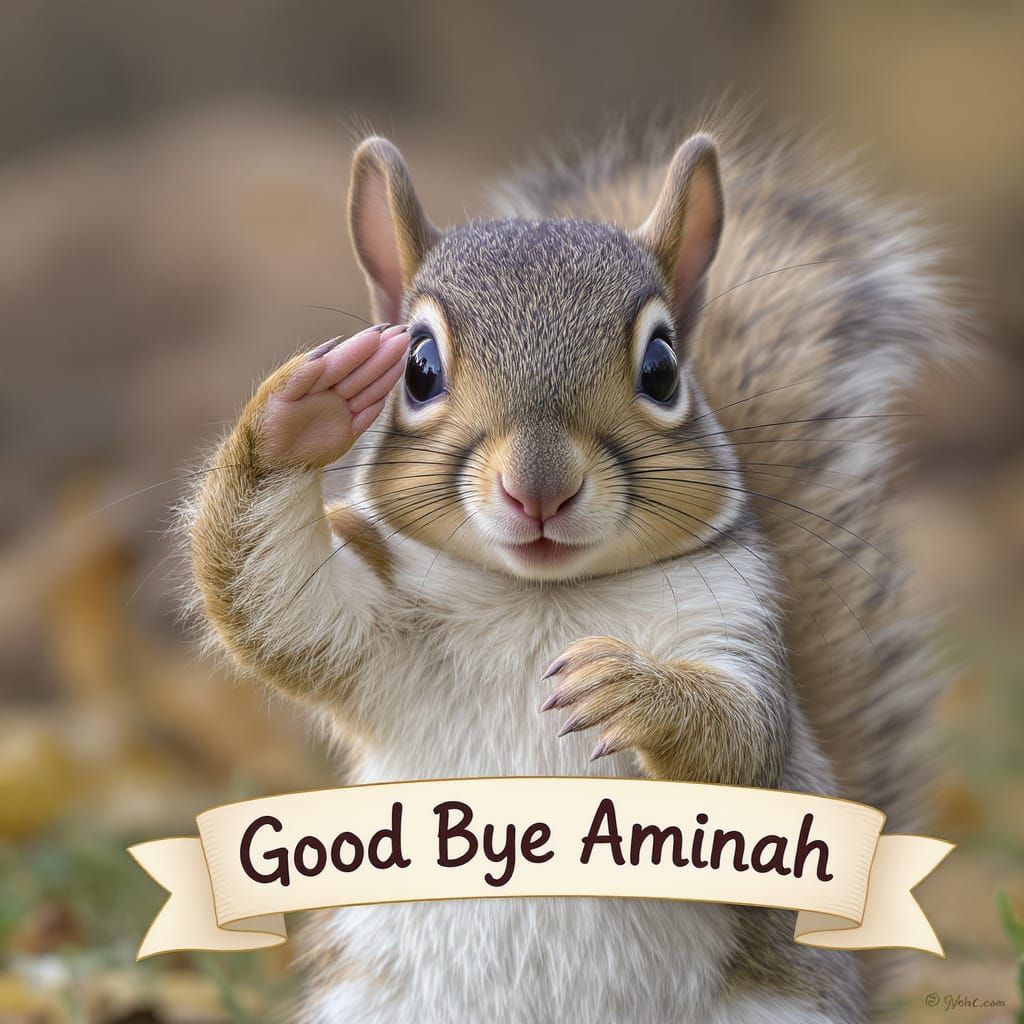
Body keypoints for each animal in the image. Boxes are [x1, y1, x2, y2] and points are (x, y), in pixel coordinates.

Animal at [184, 120, 957, 1023]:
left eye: (661, 368)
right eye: (418, 368)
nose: (540, 489)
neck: (544, 600)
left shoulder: (735, 614)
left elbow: (747, 736)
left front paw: (630, 687)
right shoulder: (369, 622)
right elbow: (277, 607)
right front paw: (304, 410)